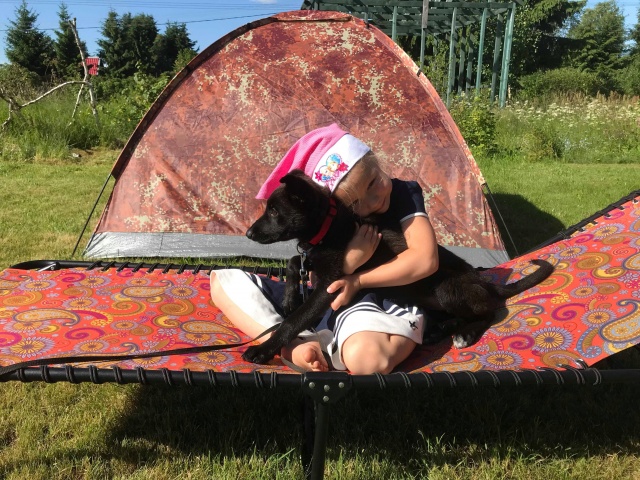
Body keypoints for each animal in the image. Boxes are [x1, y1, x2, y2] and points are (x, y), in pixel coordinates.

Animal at [242, 170, 553, 364]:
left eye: (274, 211)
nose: (248, 233)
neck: (329, 226)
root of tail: (486, 282)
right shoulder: (313, 262)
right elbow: (294, 261)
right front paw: (289, 298)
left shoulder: (330, 284)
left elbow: (294, 321)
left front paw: (264, 349)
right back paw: (443, 328)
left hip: (448, 289)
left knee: (491, 311)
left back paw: (465, 333)